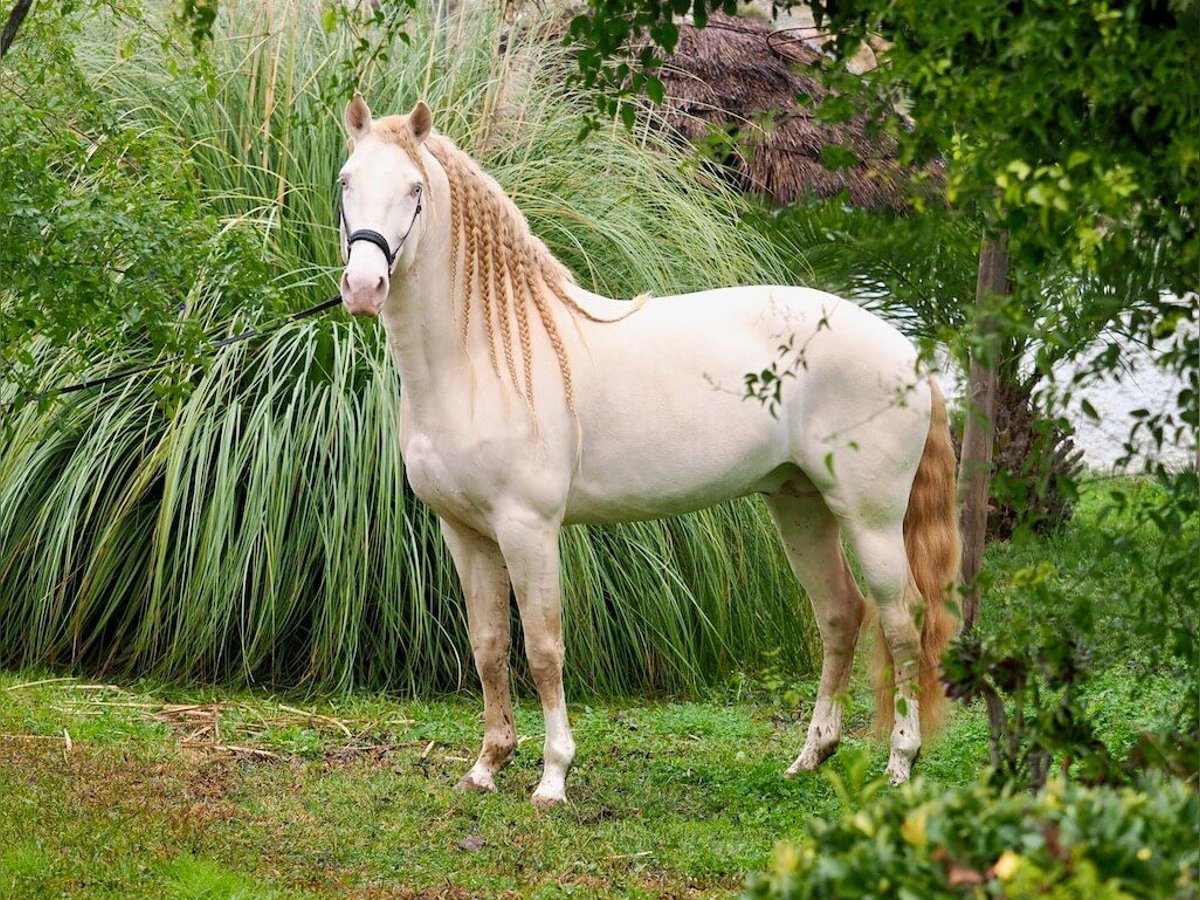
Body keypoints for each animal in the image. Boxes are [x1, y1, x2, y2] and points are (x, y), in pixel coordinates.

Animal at [333, 97, 960, 811]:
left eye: (414, 190)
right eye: (346, 182)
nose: (363, 285)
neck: (484, 357)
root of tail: (907, 353)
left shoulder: (528, 529)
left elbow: (543, 648)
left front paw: (553, 778)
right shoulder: (464, 532)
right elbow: (489, 647)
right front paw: (487, 765)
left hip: (871, 519)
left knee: (903, 623)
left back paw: (900, 764)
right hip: (800, 507)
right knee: (840, 614)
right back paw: (810, 757)